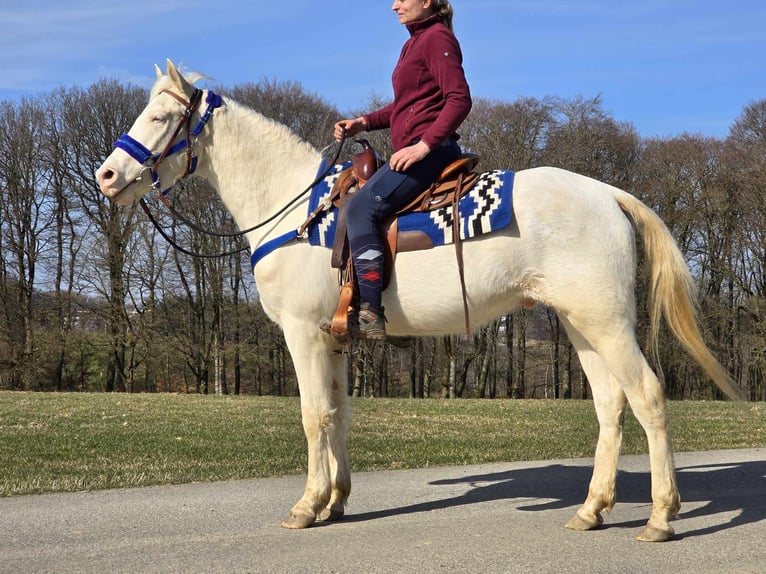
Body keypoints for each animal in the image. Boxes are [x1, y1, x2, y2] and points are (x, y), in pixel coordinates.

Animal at [97, 62, 744, 544]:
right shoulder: (334, 340)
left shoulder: (303, 334)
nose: (106, 176)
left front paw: (307, 505)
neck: (296, 210)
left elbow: (313, 416)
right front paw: (336, 500)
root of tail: (607, 193)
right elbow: (339, 415)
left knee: (649, 397)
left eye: (160, 116)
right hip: (581, 324)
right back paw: (592, 508)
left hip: (607, 323)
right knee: (611, 405)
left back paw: (661, 516)